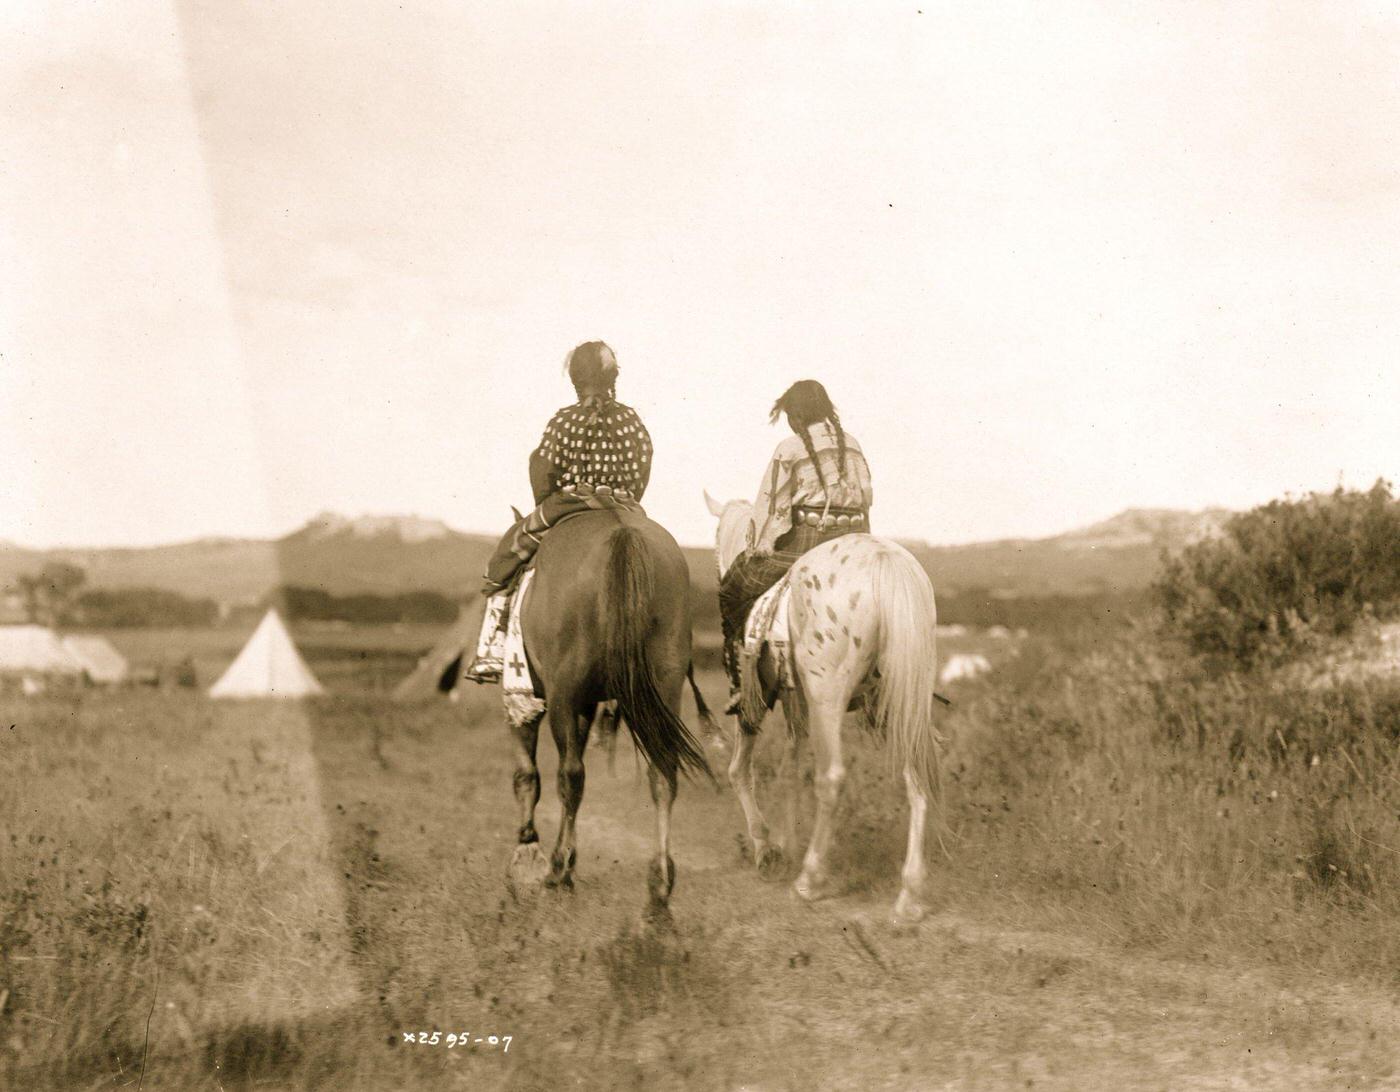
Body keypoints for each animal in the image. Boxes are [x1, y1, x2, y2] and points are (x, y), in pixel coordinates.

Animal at [504, 506, 711, 918]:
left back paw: (556, 871)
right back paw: (659, 889)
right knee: (663, 775)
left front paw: (528, 854)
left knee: (570, 777)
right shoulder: (586, 704)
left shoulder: (535, 696)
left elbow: (527, 774)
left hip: (564, 695)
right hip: (665, 684)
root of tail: (621, 532)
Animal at [705, 490, 946, 924]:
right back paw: (909, 896)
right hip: (899, 704)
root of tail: (885, 561)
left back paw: (810, 879)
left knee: (831, 778)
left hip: (828, 696)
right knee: (917, 774)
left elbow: (740, 769)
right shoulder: (796, 701)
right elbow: (791, 767)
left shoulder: (759, 701)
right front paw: (786, 841)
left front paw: (768, 849)